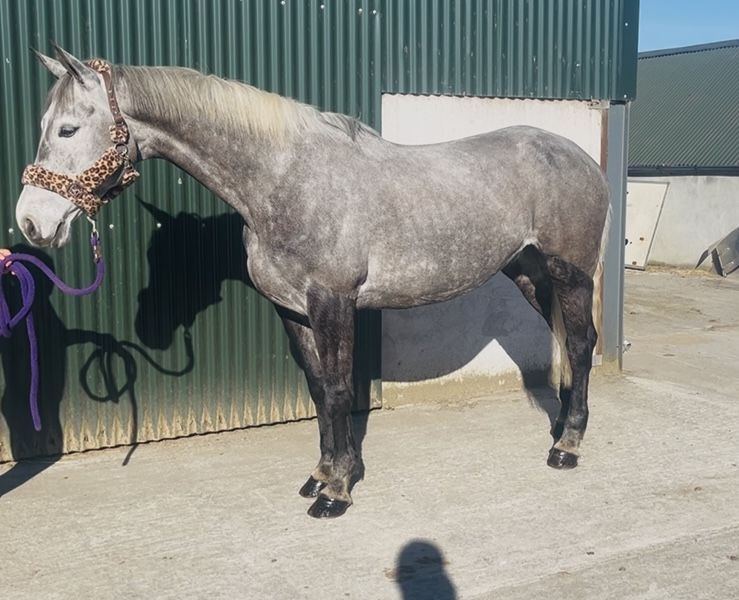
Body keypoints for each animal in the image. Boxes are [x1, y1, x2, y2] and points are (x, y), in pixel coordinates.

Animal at [15, 45, 610, 519]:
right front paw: (321, 475)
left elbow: (343, 389)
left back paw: (568, 446)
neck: (284, 180)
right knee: (569, 343)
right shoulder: (292, 309)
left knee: (581, 346)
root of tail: (581, 158)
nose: (31, 223)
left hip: (569, 273)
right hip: (529, 274)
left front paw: (338, 492)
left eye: (67, 129)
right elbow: (320, 389)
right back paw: (562, 428)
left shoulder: (333, 303)